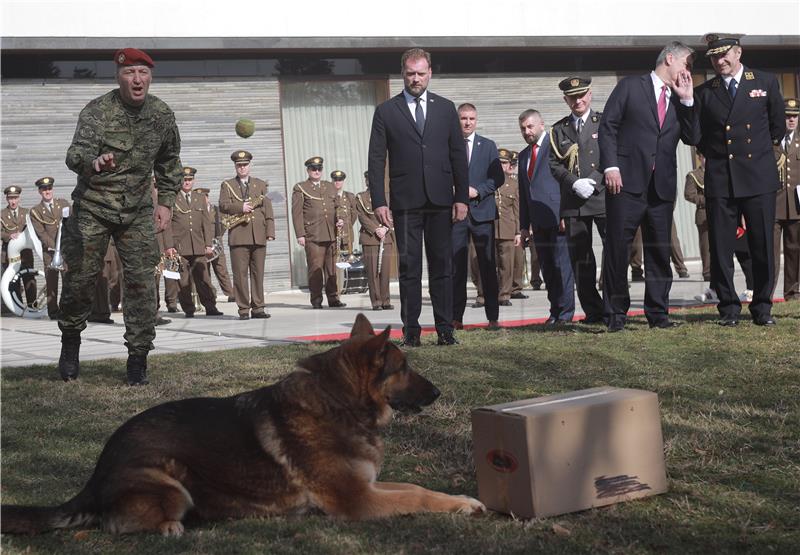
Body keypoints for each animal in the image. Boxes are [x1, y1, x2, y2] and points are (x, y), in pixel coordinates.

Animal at [0, 314, 484, 536]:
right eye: (404, 367)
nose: (438, 393)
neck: (337, 401)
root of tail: (98, 470)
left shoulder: (367, 486)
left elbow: (417, 488)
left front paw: (462, 500)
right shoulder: (357, 500)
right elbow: (415, 497)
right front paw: (460, 505)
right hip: (172, 485)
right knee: (119, 523)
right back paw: (170, 527)